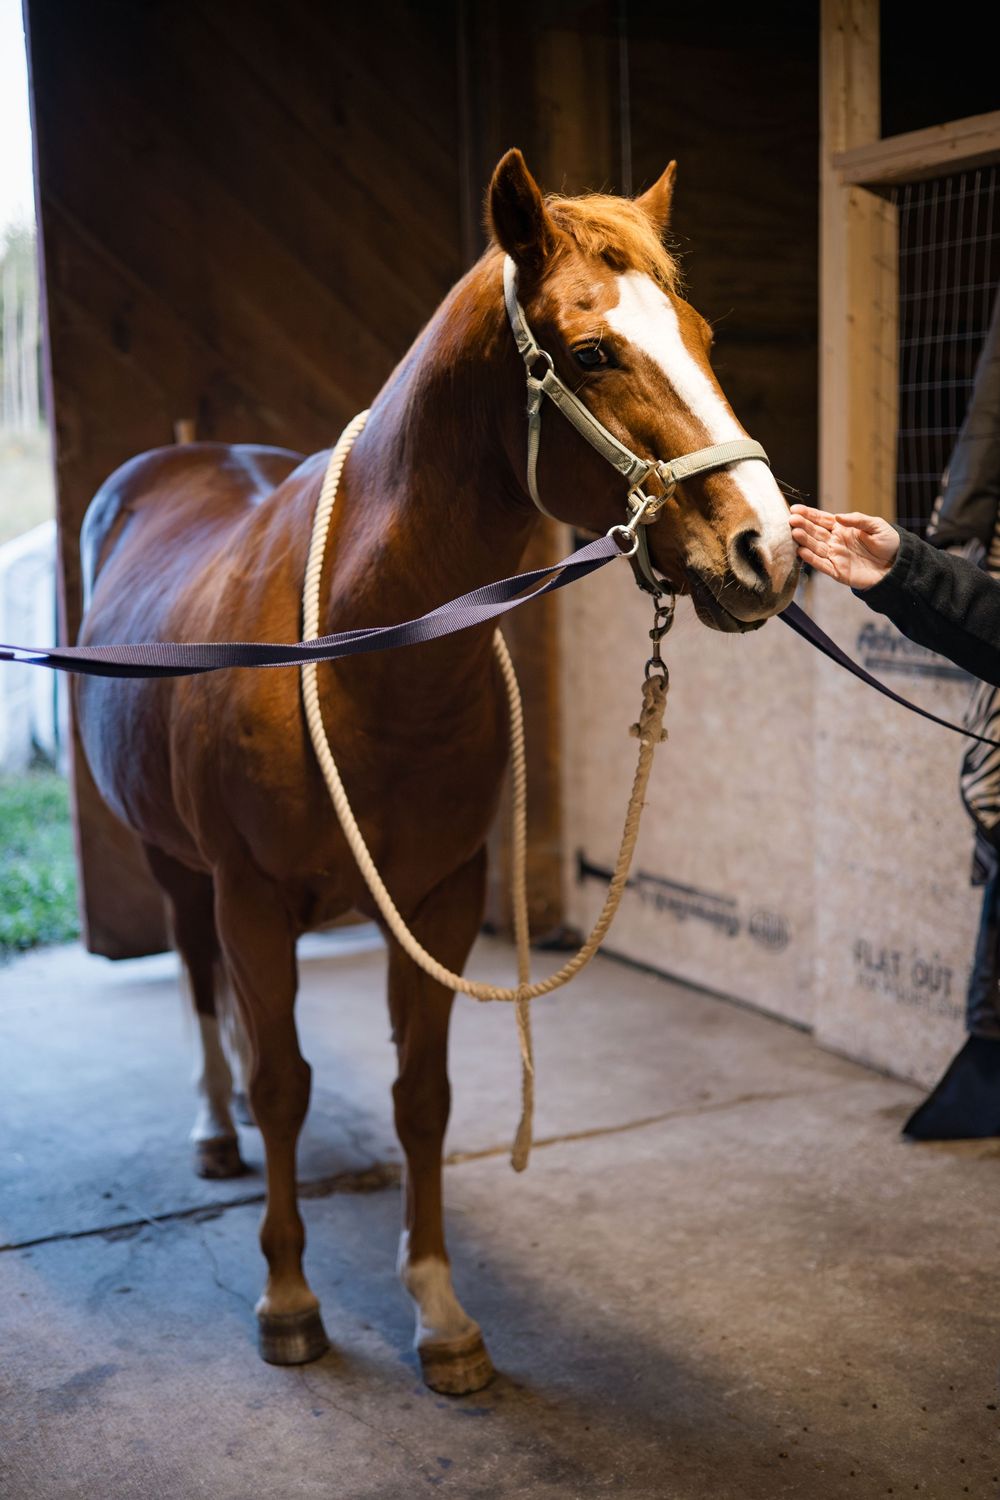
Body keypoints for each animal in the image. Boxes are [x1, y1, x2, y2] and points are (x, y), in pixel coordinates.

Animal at [74, 148, 798, 1395]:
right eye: (591, 351)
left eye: (701, 334)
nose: (768, 550)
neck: (361, 653)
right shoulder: (252, 900)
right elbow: (284, 1084)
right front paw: (288, 1299)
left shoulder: (442, 898)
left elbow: (423, 1098)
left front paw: (440, 1309)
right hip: (175, 864)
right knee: (198, 979)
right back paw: (213, 1129)